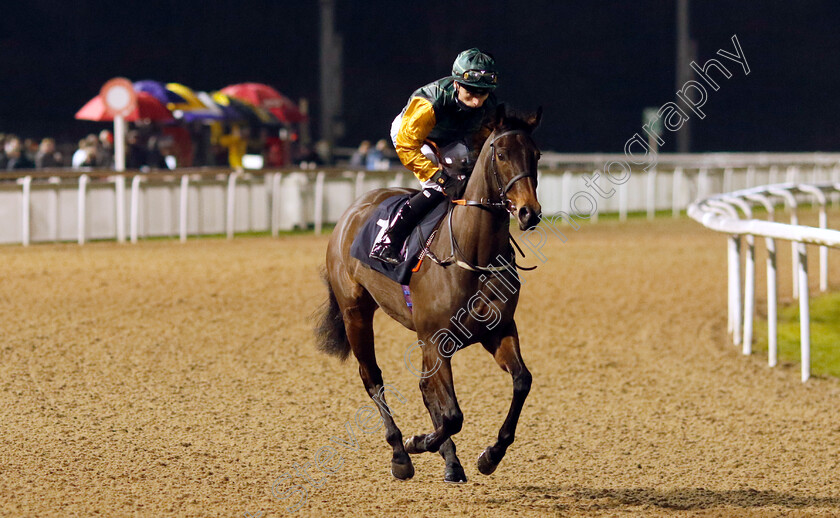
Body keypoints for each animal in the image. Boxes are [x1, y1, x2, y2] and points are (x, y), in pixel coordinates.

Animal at [316, 105, 544, 484]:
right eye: (501, 154)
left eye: (536, 154)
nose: (529, 212)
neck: (472, 254)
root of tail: (354, 209)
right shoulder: (437, 340)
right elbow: (452, 414)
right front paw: (417, 442)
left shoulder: (496, 331)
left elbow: (521, 382)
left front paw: (490, 455)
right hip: (356, 313)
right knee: (372, 378)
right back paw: (400, 454)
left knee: (425, 390)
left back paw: (449, 461)